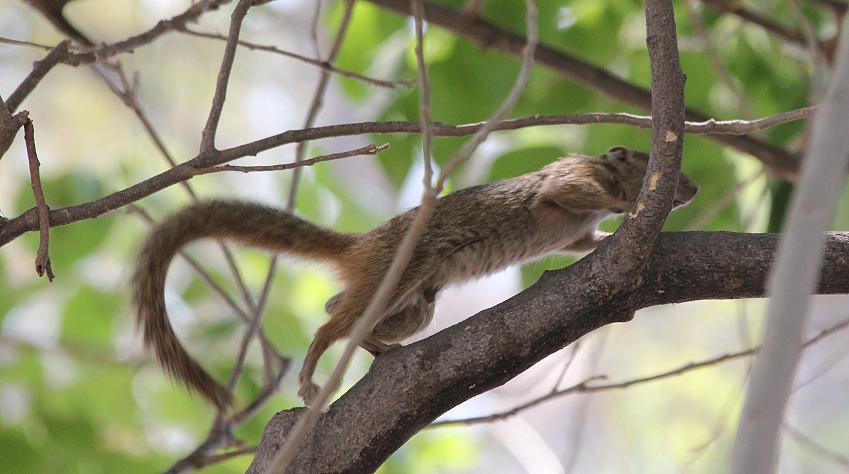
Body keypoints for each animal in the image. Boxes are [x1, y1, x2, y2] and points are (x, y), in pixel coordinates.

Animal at [132, 147, 700, 408]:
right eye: (651, 160)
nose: (692, 189)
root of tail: (365, 245)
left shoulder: (574, 233)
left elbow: (583, 241)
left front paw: (609, 234)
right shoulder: (569, 179)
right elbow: (563, 193)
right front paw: (628, 208)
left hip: (414, 303)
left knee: (339, 308)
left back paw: (380, 348)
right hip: (399, 273)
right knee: (329, 325)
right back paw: (313, 374)